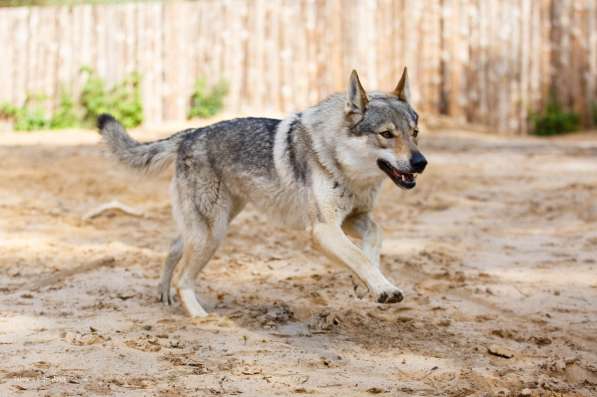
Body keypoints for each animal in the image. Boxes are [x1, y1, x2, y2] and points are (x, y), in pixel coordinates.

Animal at [96, 67, 424, 316]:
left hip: (211, 225)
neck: (341, 164)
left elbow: (374, 240)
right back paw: (199, 316)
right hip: (213, 233)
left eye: (415, 133)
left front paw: (362, 285)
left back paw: (164, 294)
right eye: (386, 134)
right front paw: (384, 289)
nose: (421, 162)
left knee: (174, 247)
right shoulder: (323, 229)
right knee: (184, 278)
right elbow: (358, 257)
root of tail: (190, 133)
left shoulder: (352, 219)